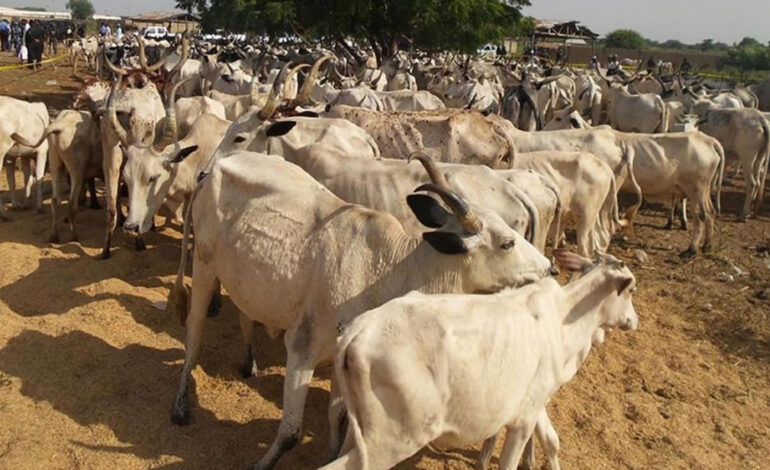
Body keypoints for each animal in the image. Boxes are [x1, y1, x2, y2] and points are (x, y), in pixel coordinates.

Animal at [321, 249, 637, 470]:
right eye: (631, 290)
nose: (634, 320)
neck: (565, 320)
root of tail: (358, 331)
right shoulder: (522, 420)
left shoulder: (535, 400)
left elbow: (551, 440)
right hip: (391, 441)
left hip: (361, 434)